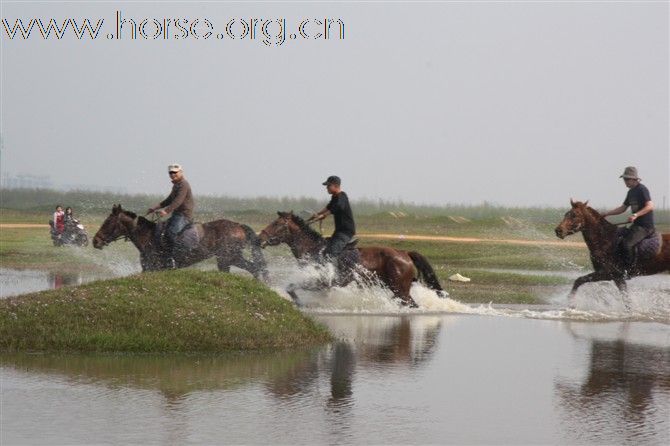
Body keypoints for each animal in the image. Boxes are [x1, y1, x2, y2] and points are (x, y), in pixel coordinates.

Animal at [92, 204, 270, 280]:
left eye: (108, 222)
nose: (95, 241)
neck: (148, 237)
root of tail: (238, 226)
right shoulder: (148, 269)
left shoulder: (156, 268)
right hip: (232, 258)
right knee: (255, 268)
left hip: (226, 258)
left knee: (253, 268)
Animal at [258, 210, 446, 306]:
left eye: (276, 224)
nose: (259, 238)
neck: (313, 249)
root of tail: (404, 253)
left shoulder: (320, 282)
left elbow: (291, 287)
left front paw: (299, 303)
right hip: (396, 288)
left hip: (400, 289)